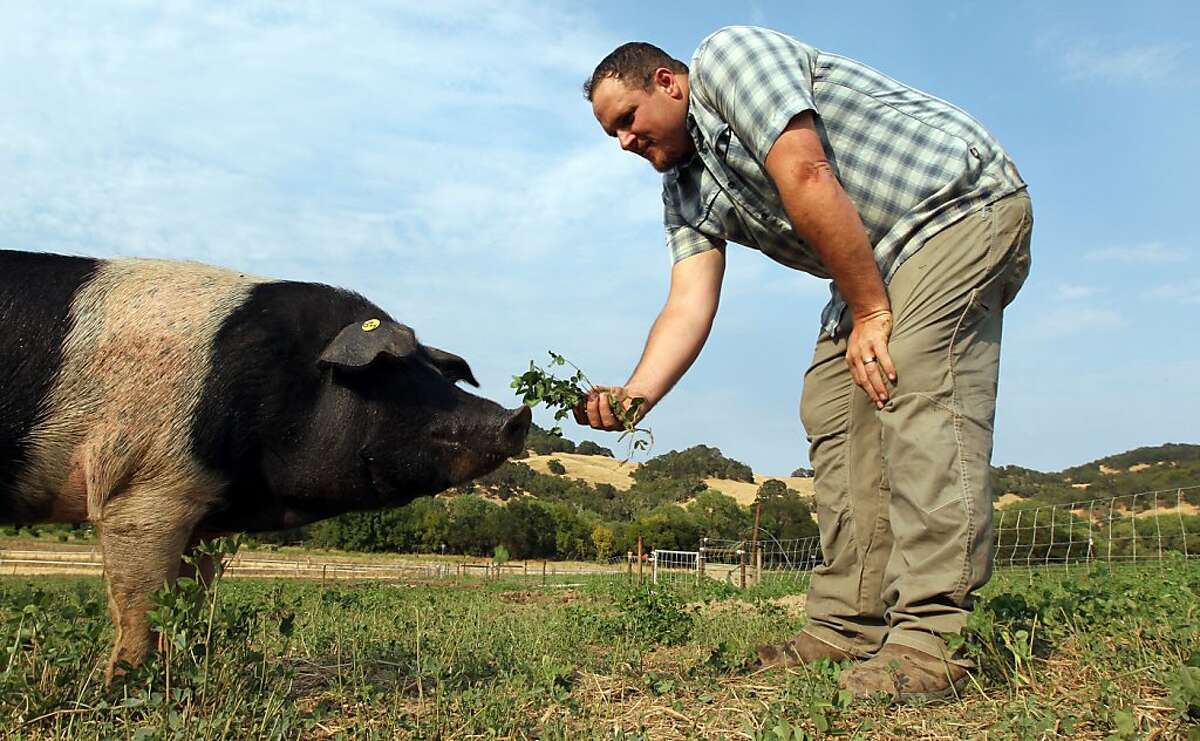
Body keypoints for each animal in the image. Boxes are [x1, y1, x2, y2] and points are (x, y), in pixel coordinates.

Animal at [0, 249, 531, 680]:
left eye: (432, 368)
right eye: (390, 369)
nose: (517, 415)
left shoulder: (204, 515)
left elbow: (191, 598)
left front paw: (185, 669)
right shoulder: (141, 492)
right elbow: (143, 604)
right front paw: (129, 687)